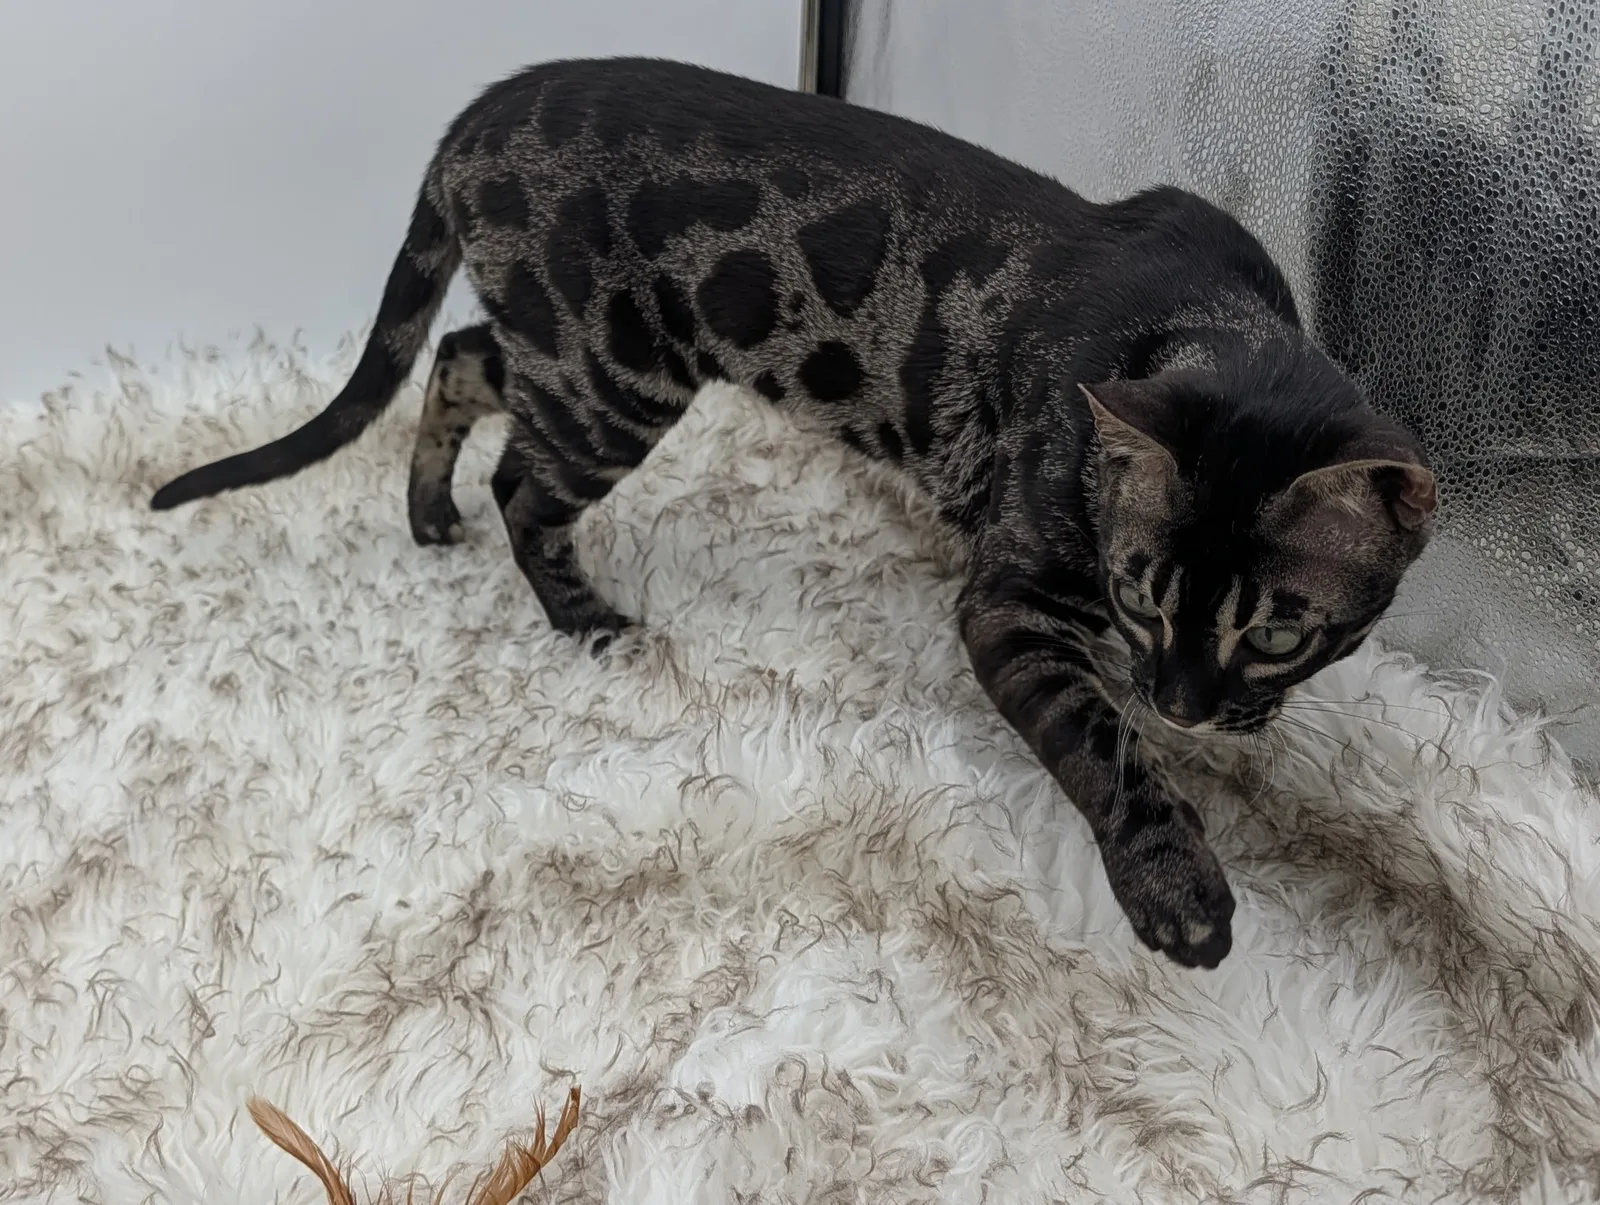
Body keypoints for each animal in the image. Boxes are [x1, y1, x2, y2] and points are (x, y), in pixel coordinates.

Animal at [149, 57, 1437, 968]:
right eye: (1135, 590)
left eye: (1281, 630)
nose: (1181, 700)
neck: (1203, 316)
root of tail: (478, 111)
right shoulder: (1011, 599)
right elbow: (1101, 745)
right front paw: (1177, 883)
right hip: (609, 377)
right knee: (519, 478)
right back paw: (583, 616)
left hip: (565, 357)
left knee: (460, 357)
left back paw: (428, 512)